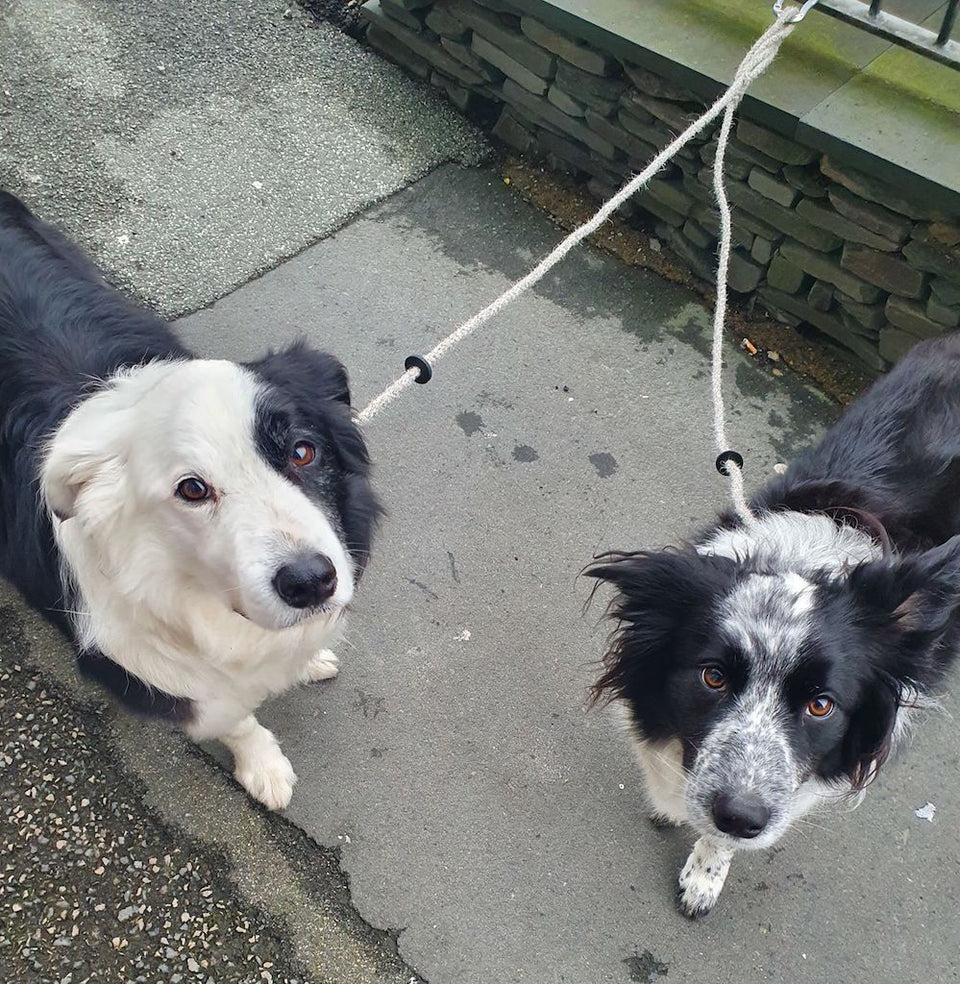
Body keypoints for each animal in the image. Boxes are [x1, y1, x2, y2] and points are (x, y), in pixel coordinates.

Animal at [0, 188, 380, 812]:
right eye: (192, 489)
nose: (309, 583)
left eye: (303, 452)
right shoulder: (156, 675)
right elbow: (234, 717)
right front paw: (262, 764)